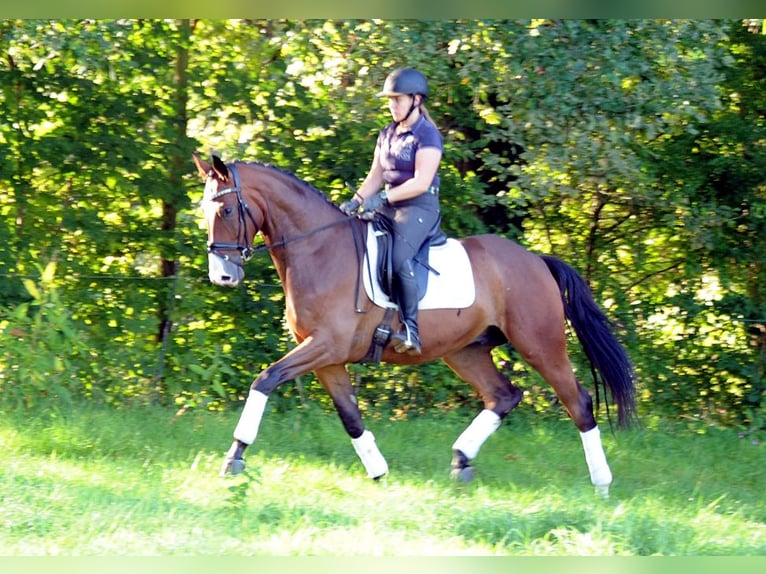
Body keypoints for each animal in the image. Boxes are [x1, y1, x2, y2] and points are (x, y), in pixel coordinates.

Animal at [195, 154, 640, 500]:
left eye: (227, 210)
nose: (223, 276)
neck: (319, 250)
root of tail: (536, 260)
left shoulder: (325, 346)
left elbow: (265, 380)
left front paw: (234, 456)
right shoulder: (327, 357)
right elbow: (350, 416)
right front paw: (378, 472)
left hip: (540, 344)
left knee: (578, 402)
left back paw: (602, 484)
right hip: (465, 351)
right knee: (504, 395)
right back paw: (462, 459)